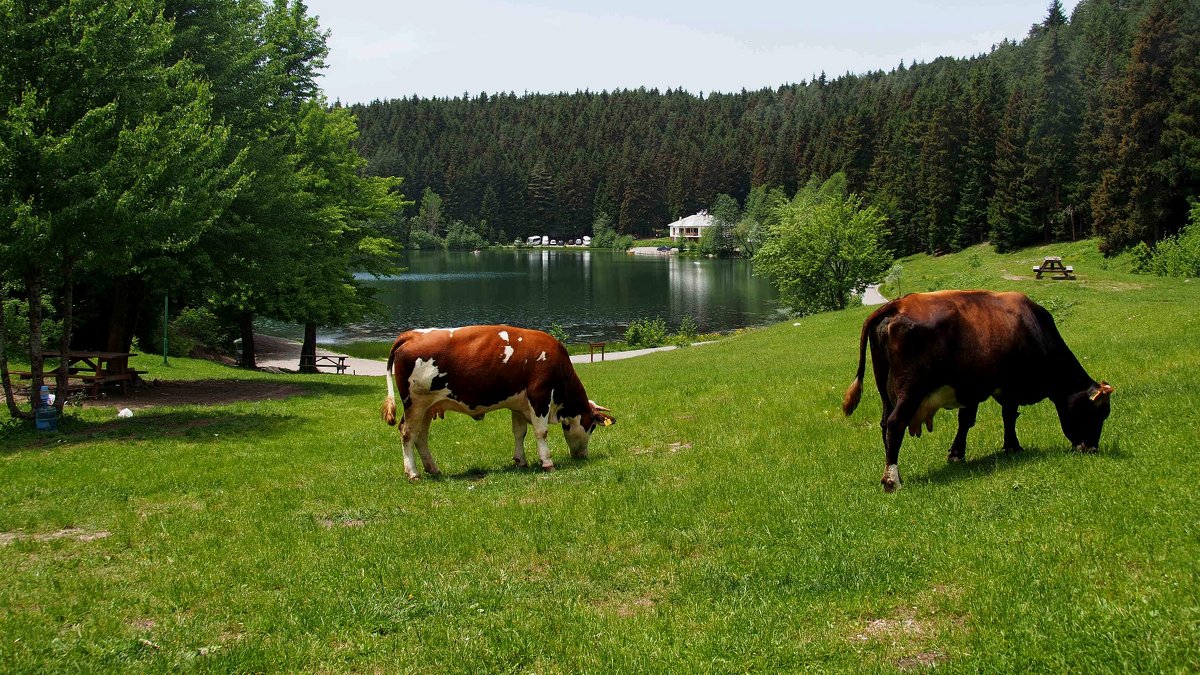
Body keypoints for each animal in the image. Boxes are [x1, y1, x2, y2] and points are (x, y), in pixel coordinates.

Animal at [379, 324, 614, 478]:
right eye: (592, 426)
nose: (582, 456)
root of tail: (410, 335)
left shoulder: (518, 403)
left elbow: (519, 432)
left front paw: (521, 461)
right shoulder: (539, 396)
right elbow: (541, 432)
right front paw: (547, 462)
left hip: (428, 406)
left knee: (421, 436)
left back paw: (433, 469)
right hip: (415, 403)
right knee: (407, 433)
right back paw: (413, 473)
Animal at [840, 288, 1108, 487]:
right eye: (1097, 413)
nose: (1091, 449)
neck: (1033, 330)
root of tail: (897, 305)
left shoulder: (971, 390)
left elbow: (967, 421)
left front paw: (957, 454)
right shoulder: (1005, 387)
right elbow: (1007, 416)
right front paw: (1013, 446)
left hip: (886, 390)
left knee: (885, 424)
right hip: (911, 390)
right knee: (896, 423)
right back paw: (892, 480)